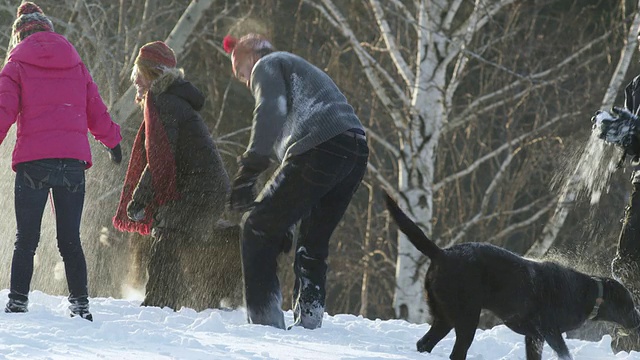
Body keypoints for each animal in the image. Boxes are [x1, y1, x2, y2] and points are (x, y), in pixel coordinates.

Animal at [382, 194, 640, 360]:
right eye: (629, 304)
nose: (639, 319)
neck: (588, 293)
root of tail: (442, 253)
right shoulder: (550, 331)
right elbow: (565, 353)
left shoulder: (534, 337)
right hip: (466, 318)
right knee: (456, 353)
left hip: (444, 317)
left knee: (424, 343)